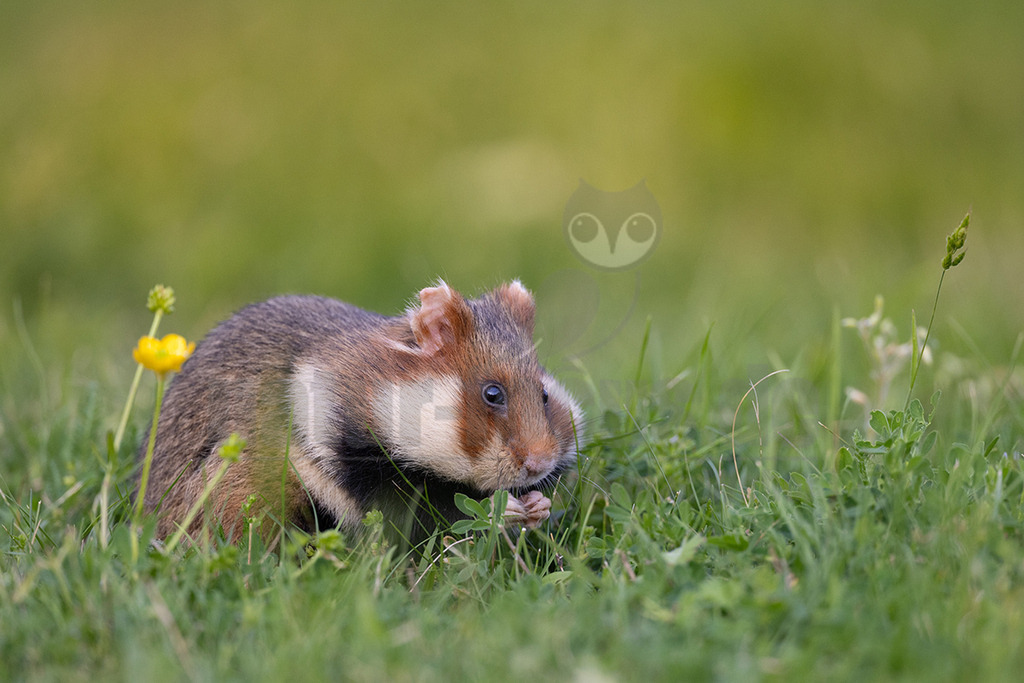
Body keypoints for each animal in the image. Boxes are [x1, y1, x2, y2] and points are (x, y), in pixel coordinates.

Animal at [136, 280, 585, 543]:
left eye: (544, 394)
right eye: (492, 393)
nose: (540, 464)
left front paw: (538, 507)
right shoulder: (351, 458)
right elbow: (431, 504)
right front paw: (509, 508)